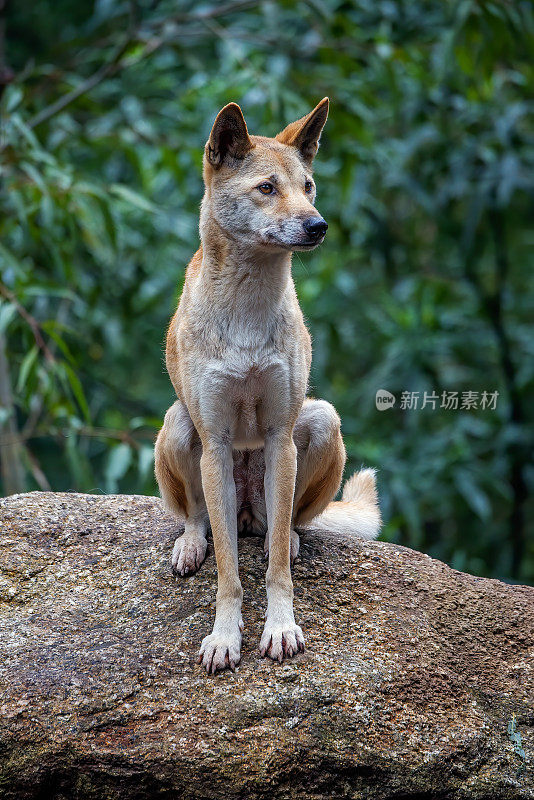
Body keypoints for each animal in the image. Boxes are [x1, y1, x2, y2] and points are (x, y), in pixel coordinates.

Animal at [156, 98, 386, 676]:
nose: (318, 226)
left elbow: (276, 563)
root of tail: (245, 513)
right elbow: (229, 573)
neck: (248, 310)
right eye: (266, 187)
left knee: (282, 527)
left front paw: (280, 629)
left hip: (321, 420)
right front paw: (224, 637)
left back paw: (296, 538)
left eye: (309, 186)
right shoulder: (215, 441)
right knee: (200, 519)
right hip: (179, 425)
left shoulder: (281, 438)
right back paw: (191, 544)